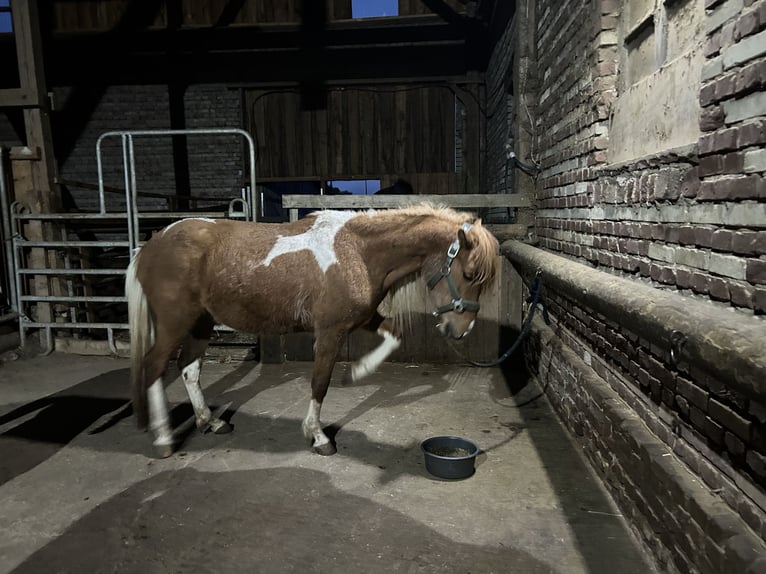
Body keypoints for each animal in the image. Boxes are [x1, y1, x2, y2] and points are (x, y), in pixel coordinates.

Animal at [125, 204, 499, 458]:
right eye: (468, 274)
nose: (461, 329)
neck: (358, 252)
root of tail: (152, 245)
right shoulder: (331, 331)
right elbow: (320, 382)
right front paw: (317, 436)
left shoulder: (361, 318)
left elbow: (394, 335)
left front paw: (359, 371)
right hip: (175, 322)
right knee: (155, 367)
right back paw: (163, 439)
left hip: (201, 322)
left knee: (188, 368)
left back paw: (209, 422)